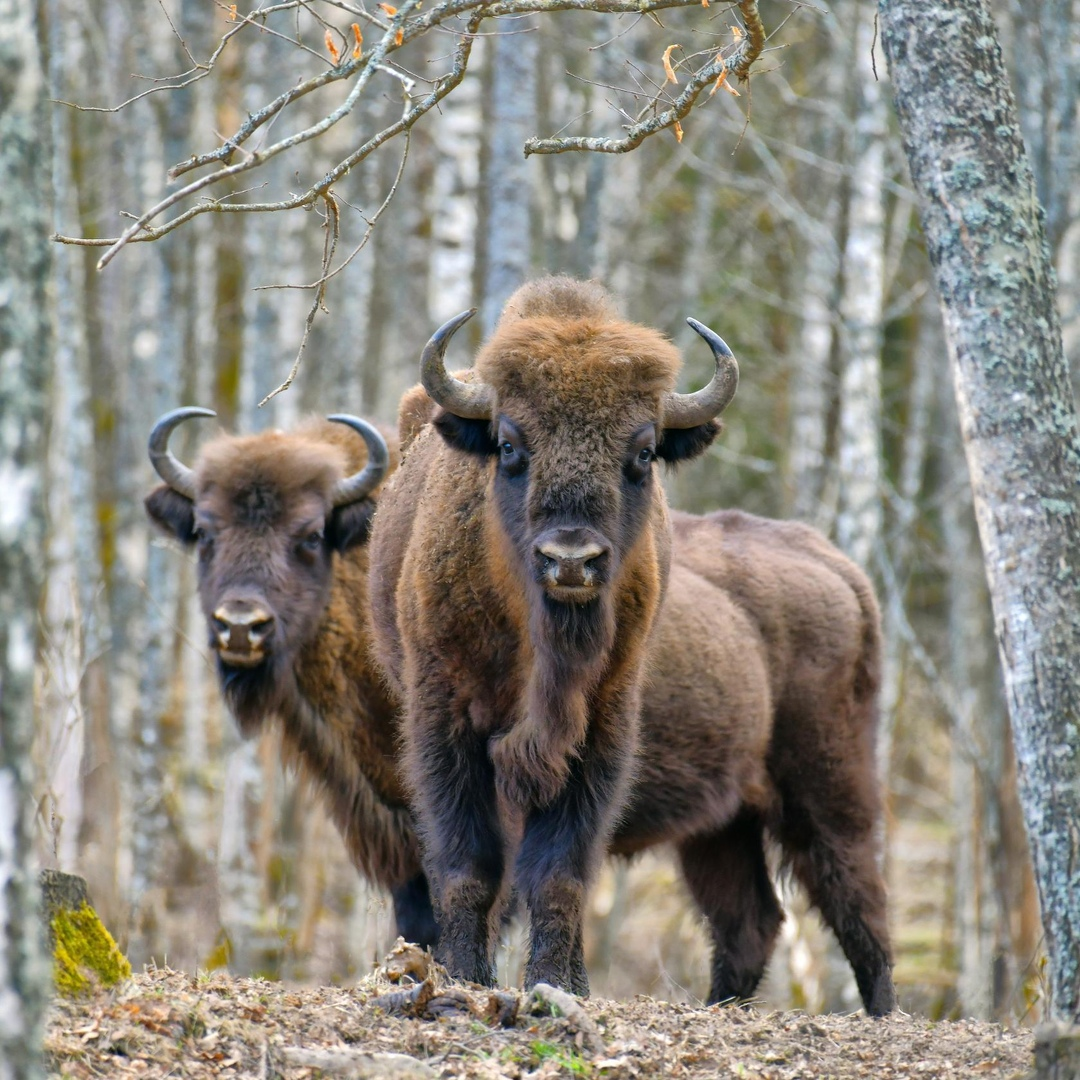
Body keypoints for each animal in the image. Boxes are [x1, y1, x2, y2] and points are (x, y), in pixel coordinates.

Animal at [371, 276, 743, 993]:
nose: (571, 559)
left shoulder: (599, 728)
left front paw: (554, 982)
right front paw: (466, 975)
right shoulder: (444, 719)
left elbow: (561, 869)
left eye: (643, 451)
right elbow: (468, 862)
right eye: (511, 445)